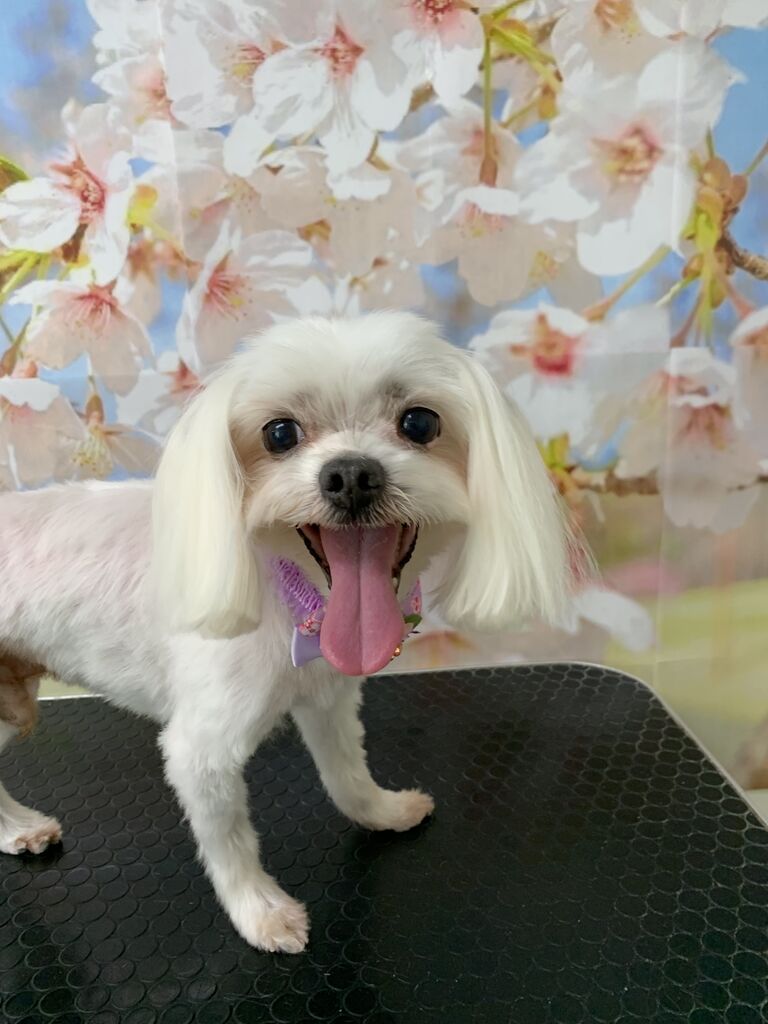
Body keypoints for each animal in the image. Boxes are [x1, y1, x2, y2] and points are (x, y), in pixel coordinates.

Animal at [0, 312, 570, 953]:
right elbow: (230, 843)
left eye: (420, 422)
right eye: (278, 433)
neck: (299, 603)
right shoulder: (202, 751)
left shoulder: (327, 696)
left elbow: (346, 771)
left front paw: (381, 811)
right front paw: (261, 913)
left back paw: (16, 828)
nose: (351, 474)